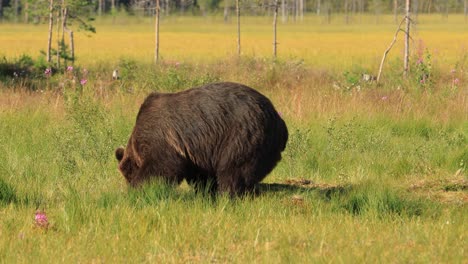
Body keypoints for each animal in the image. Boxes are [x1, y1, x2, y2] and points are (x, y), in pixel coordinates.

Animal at [115, 82, 288, 196]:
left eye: (128, 174)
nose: (128, 184)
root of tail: (279, 121)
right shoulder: (197, 152)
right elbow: (201, 174)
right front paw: (205, 191)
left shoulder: (164, 139)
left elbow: (161, 167)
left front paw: (141, 187)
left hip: (243, 133)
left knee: (234, 168)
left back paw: (229, 193)